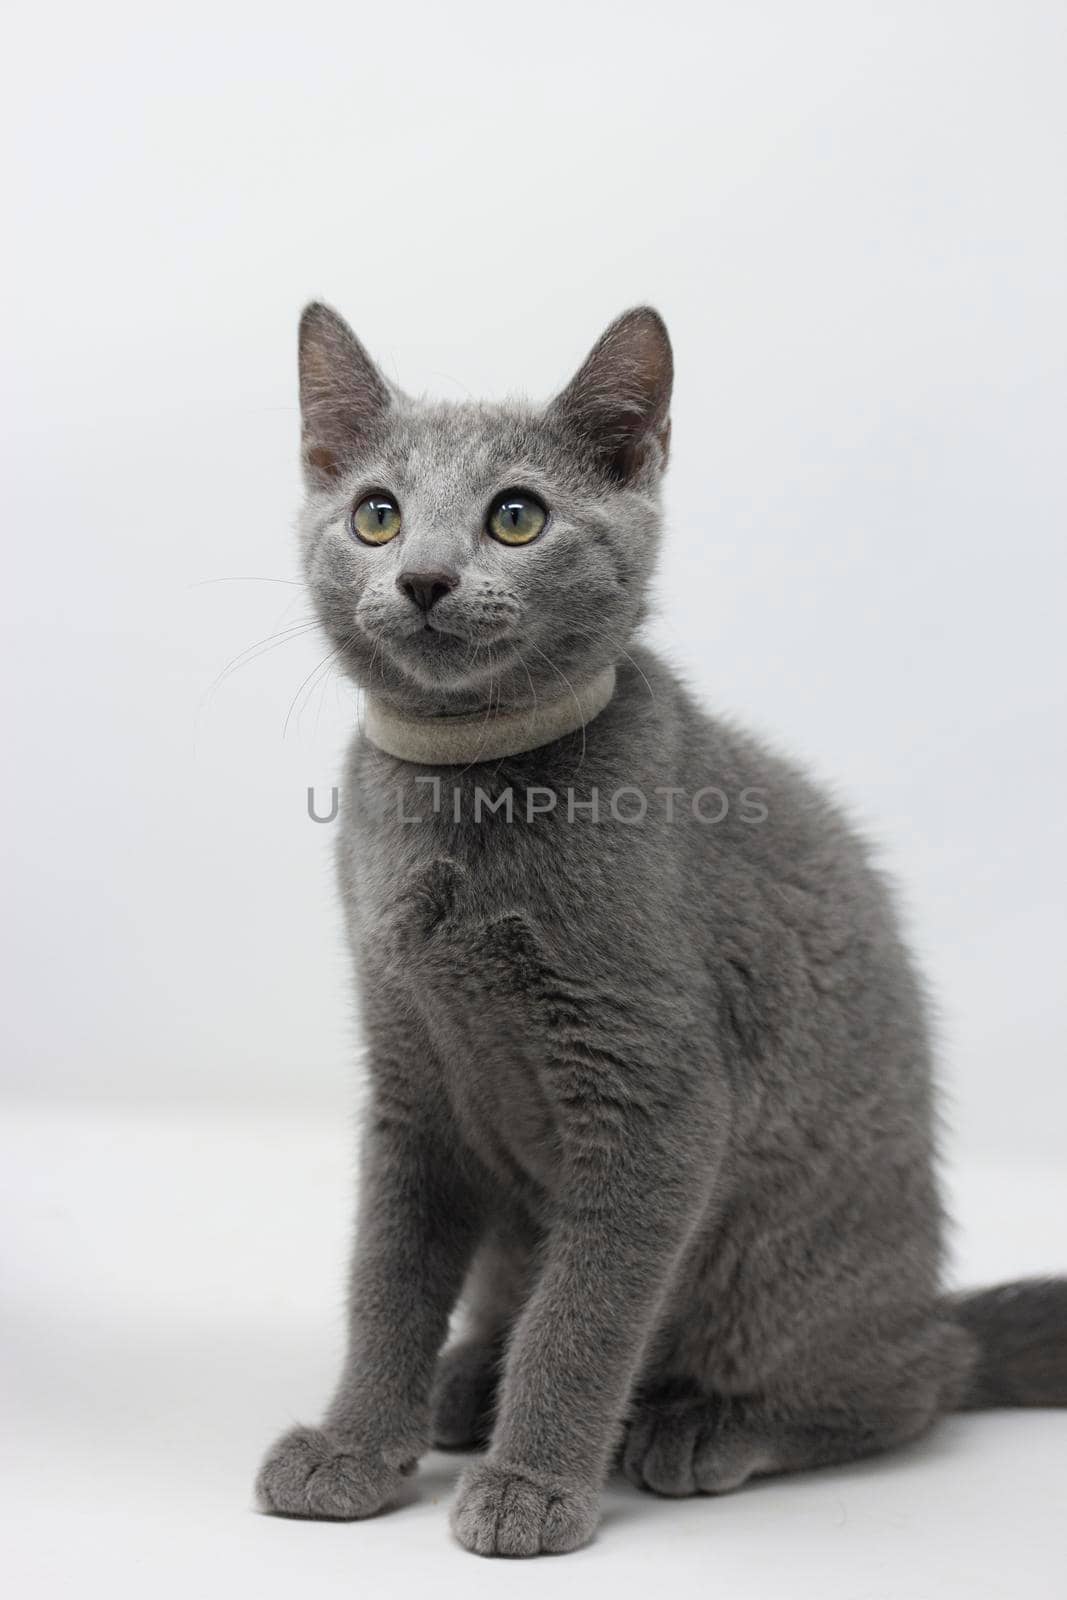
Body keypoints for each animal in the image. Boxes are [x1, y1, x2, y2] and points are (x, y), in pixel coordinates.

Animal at [254, 297, 1062, 1548]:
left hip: (781, 1275)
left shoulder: (652, 1089)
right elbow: (384, 1278)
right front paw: (354, 1449)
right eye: (375, 515)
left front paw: (532, 1487)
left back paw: (703, 1426)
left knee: (916, 1382)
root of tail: (925, 1293)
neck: (465, 790)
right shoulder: (410, 1076)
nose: (426, 577)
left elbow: (586, 1311)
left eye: (517, 516)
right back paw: (464, 1379)